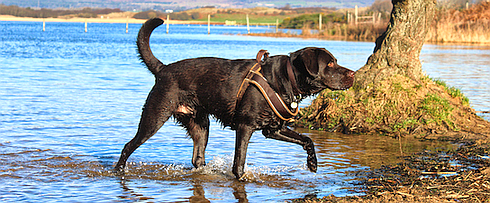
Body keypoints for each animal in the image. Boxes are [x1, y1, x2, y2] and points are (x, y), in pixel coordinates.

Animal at [116, 17, 352, 179]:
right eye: (330, 64)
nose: (352, 74)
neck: (285, 77)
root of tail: (163, 69)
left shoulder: (273, 129)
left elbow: (307, 139)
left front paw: (313, 163)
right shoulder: (245, 126)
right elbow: (239, 162)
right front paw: (241, 179)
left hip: (200, 124)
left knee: (197, 158)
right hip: (155, 115)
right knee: (128, 145)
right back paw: (118, 170)